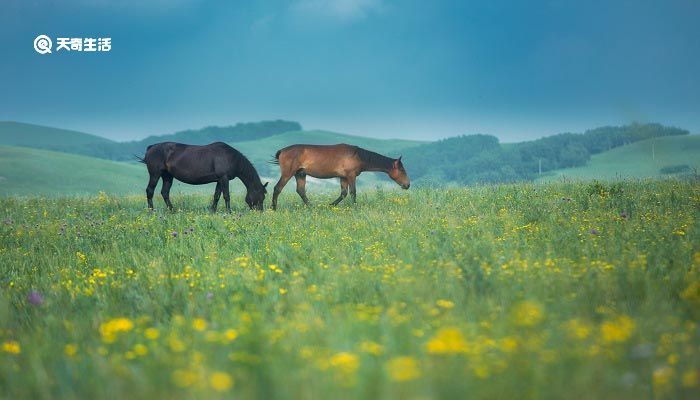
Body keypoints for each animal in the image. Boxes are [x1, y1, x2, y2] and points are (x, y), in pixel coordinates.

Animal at [137, 143, 268, 212]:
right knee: (150, 191)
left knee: (165, 192)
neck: (231, 158)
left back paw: (172, 210)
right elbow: (226, 196)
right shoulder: (224, 178)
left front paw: (213, 211)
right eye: (261, 196)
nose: (260, 212)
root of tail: (151, 147)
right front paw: (229, 212)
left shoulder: (219, 180)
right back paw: (151, 210)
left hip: (167, 176)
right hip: (155, 174)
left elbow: (216, 196)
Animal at [270, 145, 410, 211]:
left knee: (301, 191)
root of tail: (282, 151)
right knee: (277, 188)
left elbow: (343, 193)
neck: (358, 156)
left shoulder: (343, 177)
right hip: (288, 173)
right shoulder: (351, 176)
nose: (408, 185)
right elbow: (353, 192)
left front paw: (330, 205)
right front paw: (354, 207)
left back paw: (312, 207)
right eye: (402, 170)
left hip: (300, 174)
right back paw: (273, 208)